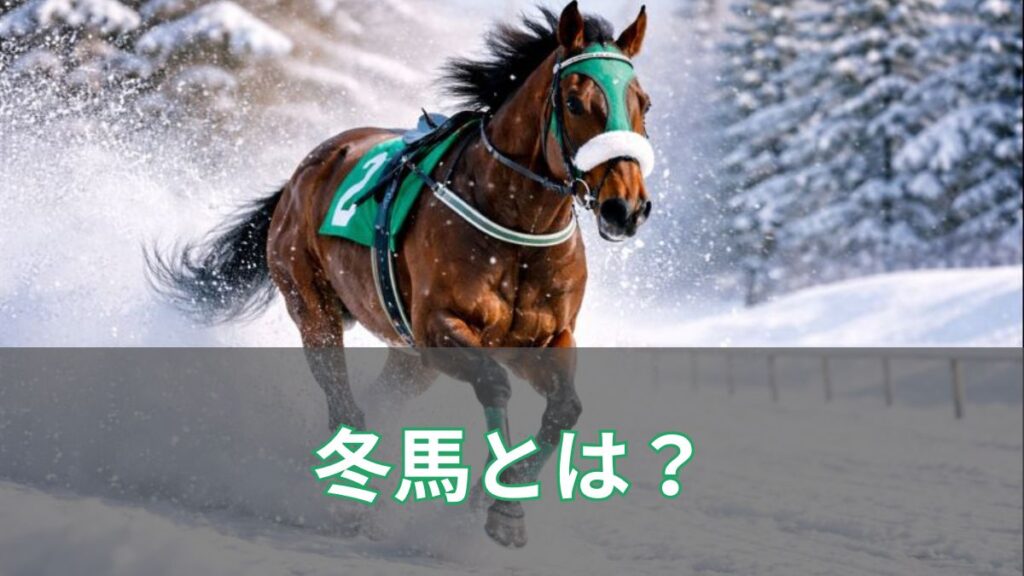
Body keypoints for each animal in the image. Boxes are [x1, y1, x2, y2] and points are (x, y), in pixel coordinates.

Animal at [147, 2, 653, 548]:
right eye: (577, 102)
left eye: (643, 102)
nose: (626, 208)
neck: (517, 226)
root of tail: (304, 170)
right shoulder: (440, 328)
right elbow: (496, 386)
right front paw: (500, 505)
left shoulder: (546, 338)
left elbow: (565, 410)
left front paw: (499, 499)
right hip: (313, 305)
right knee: (342, 398)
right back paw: (347, 494)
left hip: (411, 360)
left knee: (380, 401)